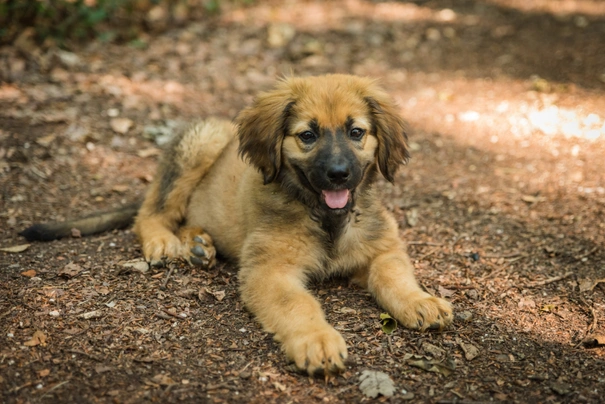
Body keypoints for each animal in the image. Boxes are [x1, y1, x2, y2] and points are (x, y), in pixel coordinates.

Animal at [21, 75, 450, 376]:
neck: (325, 217)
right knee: (152, 212)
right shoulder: (269, 270)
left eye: (356, 132)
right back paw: (164, 242)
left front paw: (420, 301)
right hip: (202, 142)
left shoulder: (382, 248)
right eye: (308, 135)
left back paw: (198, 244)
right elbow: (298, 304)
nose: (339, 174)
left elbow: (395, 276)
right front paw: (317, 341)